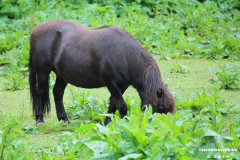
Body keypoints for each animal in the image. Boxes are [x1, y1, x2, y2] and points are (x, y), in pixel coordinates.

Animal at [28, 19, 174, 126]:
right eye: (161, 108)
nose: (162, 127)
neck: (124, 55)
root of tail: (35, 30)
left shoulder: (122, 86)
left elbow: (113, 105)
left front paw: (107, 123)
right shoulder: (112, 84)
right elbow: (122, 106)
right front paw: (126, 124)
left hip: (62, 76)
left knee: (57, 93)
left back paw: (64, 120)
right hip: (42, 72)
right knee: (39, 92)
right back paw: (40, 120)